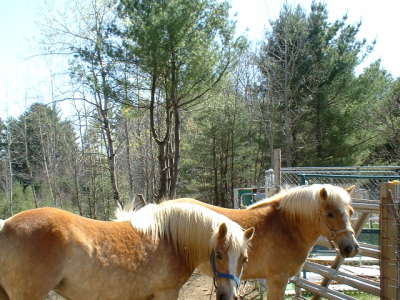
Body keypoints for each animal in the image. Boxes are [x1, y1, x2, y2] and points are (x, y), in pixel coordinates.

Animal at [0, 202, 255, 300]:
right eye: (219, 255)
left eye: (244, 259)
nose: (229, 295)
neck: (169, 238)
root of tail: (5, 224)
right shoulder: (166, 292)